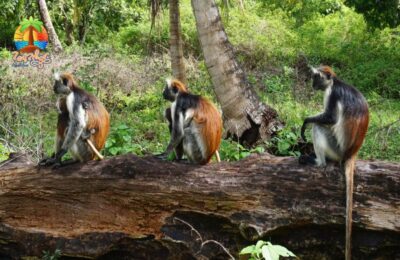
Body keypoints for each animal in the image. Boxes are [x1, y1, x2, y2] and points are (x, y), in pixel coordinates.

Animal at [300, 65, 368, 260]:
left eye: (316, 77)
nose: (312, 84)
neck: (335, 82)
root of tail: (351, 153)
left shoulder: (332, 93)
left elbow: (330, 119)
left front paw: (305, 122)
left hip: (335, 148)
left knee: (319, 127)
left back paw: (318, 162)